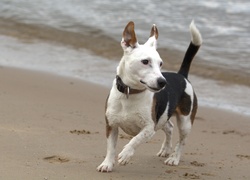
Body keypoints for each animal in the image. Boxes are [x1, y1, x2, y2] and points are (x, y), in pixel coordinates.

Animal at [96, 19, 202, 172]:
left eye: (161, 63)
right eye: (145, 61)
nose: (163, 82)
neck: (130, 93)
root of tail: (182, 75)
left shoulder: (149, 128)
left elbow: (135, 139)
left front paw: (126, 154)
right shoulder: (111, 125)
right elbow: (110, 147)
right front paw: (107, 164)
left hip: (185, 122)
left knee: (182, 141)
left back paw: (174, 158)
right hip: (163, 117)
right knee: (169, 127)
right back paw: (165, 149)